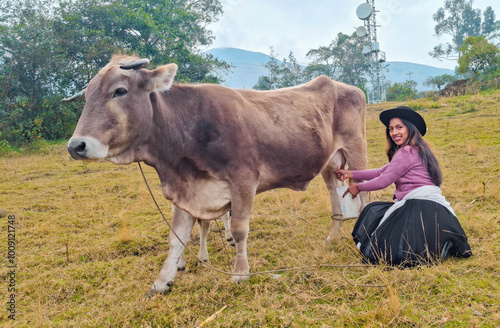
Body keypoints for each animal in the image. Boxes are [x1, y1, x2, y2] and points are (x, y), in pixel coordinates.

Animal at [66, 55, 370, 296]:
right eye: (87, 96)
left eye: (120, 91)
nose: (76, 145)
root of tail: (343, 85)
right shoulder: (186, 190)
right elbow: (176, 237)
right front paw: (162, 281)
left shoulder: (244, 180)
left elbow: (239, 230)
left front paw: (240, 273)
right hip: (331, 164)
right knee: (335, 198)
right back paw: (333, 238)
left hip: (356, 150)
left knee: (365, 194)